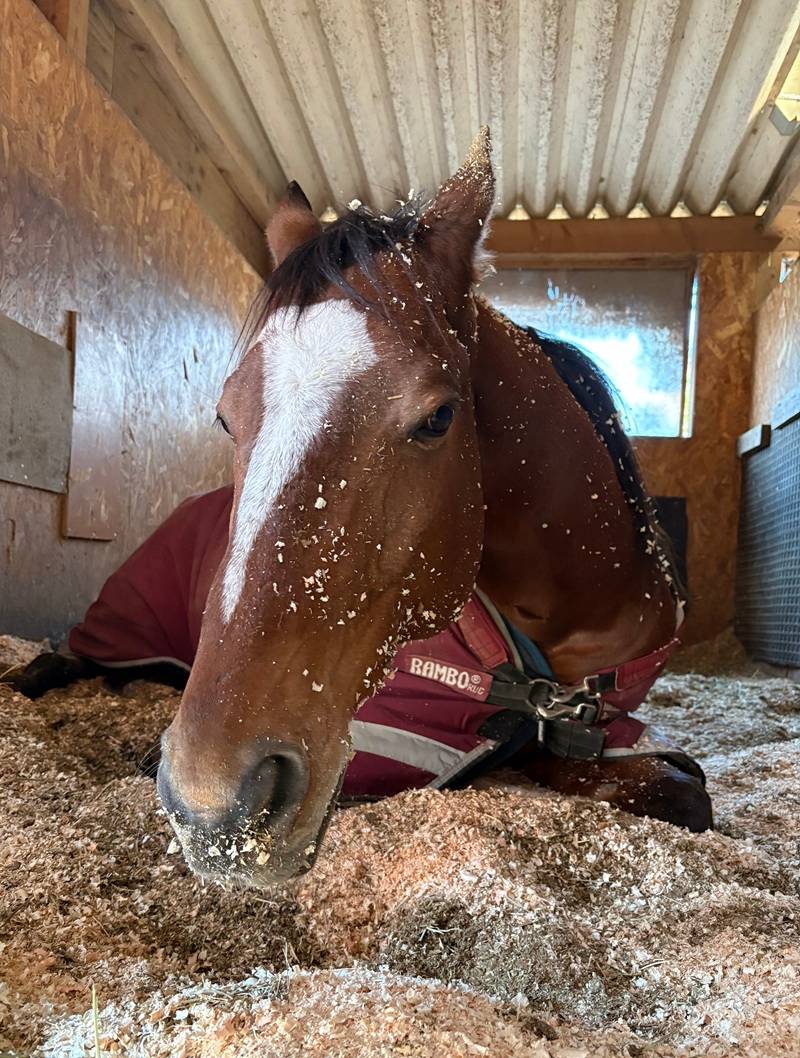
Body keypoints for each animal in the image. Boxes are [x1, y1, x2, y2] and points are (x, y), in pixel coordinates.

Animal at [9, 130, 711, 886]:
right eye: (226, 417)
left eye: (438, 418)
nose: (215, 803)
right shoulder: (394, 738)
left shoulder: (617, 731)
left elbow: (682, 794)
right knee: (65, 661)